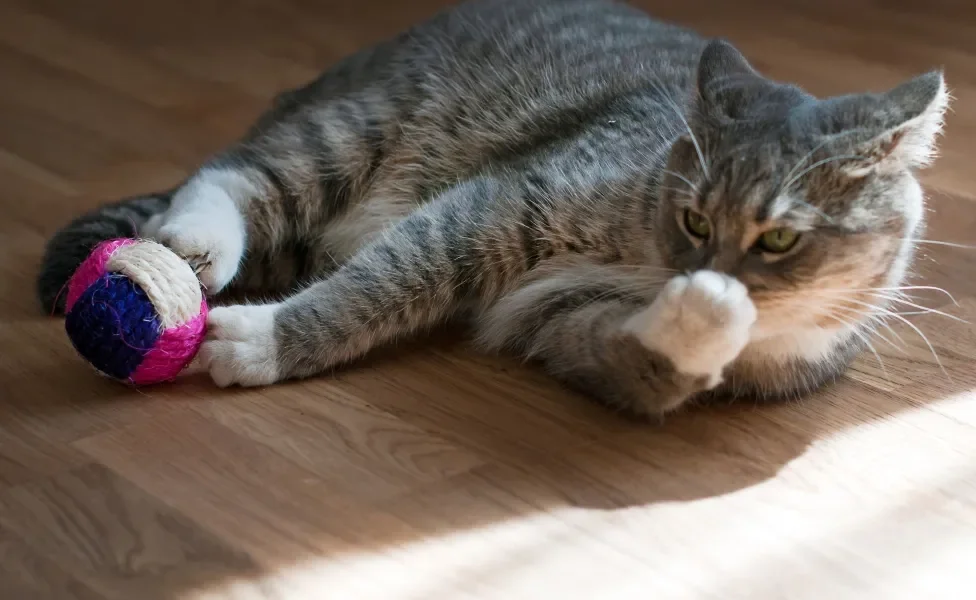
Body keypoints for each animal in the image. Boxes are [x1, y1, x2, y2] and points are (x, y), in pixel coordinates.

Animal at [34, 0, 948, 418]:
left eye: (781, 237)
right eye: (694, 218)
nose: (706, 268)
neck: (644, 259)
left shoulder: (575, 327)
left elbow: (644, 364)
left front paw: (708, 313)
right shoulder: (508, 201)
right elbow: (387, 281)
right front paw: (264, 341)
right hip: (368, 124)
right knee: (237, 173)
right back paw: (197, 237)